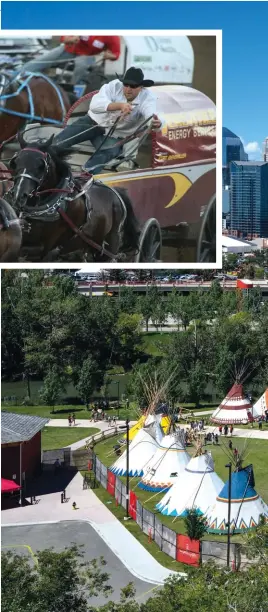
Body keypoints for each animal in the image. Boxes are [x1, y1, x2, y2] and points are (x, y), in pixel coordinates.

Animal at [8, 133, 140, 262]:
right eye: (15, 162)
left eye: (41, 165)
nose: (19, 194)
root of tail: (116, 192)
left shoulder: (41, 249)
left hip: (109, 247)